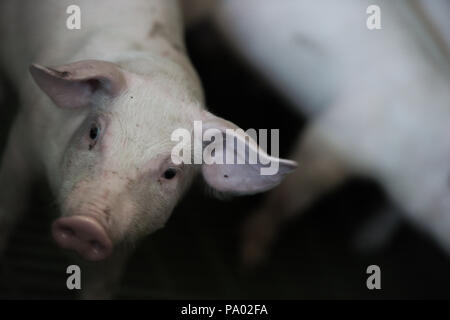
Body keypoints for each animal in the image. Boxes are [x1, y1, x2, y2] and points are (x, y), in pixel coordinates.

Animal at [0, 0, 298, 298]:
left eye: (170, 173)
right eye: (93, 132)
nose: (86, 225)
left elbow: (103, 281)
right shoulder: (24, 137)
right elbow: (10, 208)